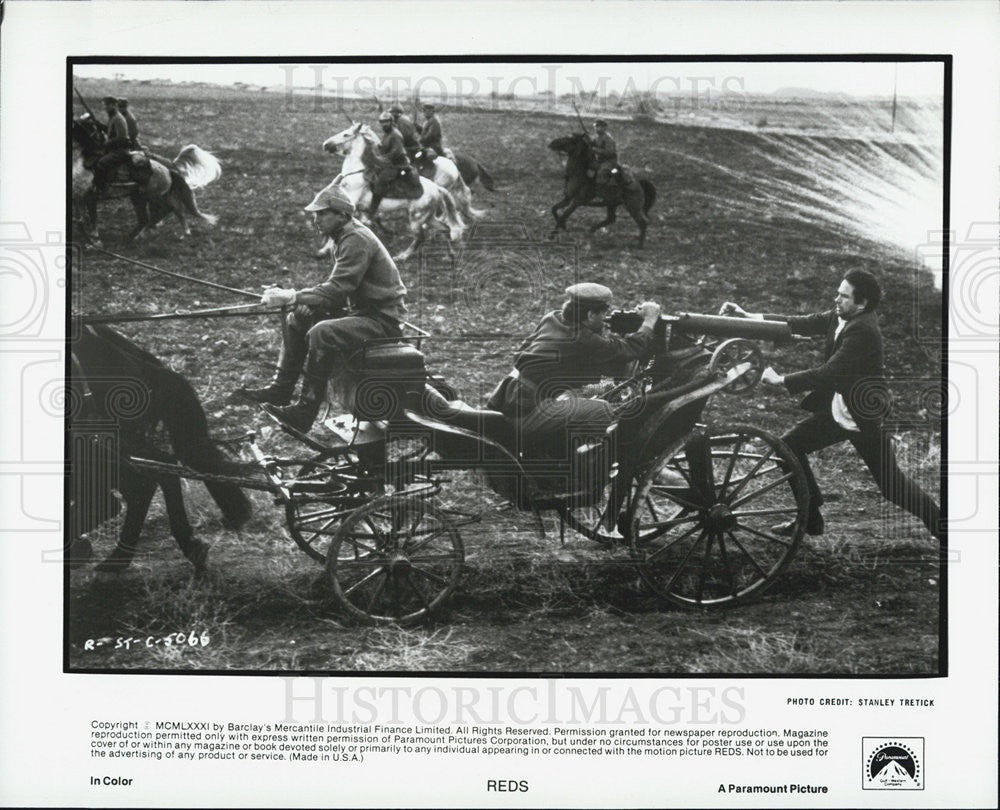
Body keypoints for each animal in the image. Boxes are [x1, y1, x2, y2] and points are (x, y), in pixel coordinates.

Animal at [320, 121, 468, 260]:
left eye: (346, 134)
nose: (325, 144)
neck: (356, 173)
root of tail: (437, 188)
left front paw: (323, 250)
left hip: (417, 217)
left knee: (420, 237)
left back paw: (403, 256)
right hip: (428, 217)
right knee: (444, 228)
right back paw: (449, 254)